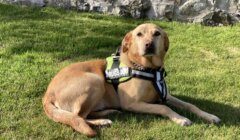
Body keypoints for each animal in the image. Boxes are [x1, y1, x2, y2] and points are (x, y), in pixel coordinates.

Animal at [42, 23, 220, 137]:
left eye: (157, 33)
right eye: (139, 34)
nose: (149, 44)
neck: (149, 69)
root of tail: (47, 94)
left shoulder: (165, 95)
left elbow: (191, 104)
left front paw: (209, 116)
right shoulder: (132, 103)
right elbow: (163, 108)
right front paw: (180, 118)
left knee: (83, 115)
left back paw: (109, 112)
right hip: (94, 80)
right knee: (78, 116)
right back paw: (102, 120)